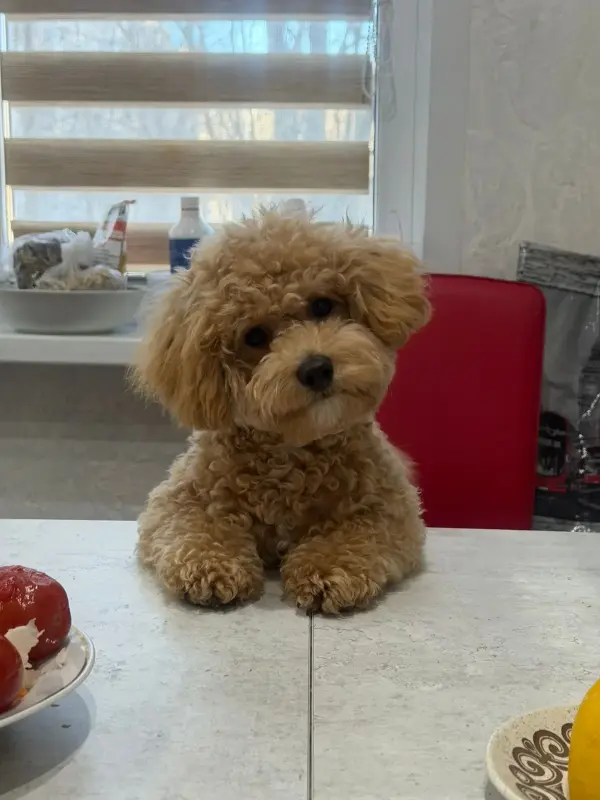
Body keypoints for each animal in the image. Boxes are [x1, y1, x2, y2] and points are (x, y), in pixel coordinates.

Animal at [134, 210, 430, 613]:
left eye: (322, 306)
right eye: (255, 336)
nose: (317, 368)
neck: (295, 456)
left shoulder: (390, 508)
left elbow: (355, 534)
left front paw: (327, 569)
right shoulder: (179, 500)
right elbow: (196, 528)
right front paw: (211, 565)